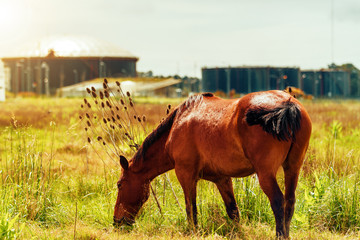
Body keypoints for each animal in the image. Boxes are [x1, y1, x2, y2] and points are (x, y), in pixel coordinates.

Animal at [114, 90, 310, 238]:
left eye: (119, 184)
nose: (117, 222)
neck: (179, 122)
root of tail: (287, 104)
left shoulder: (185, 175)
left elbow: (191, 209)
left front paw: (192, 232)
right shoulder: (222, 178)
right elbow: (233, 211)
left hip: (265, 174)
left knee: (277, 201)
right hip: (293, 168)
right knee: (289, 202)